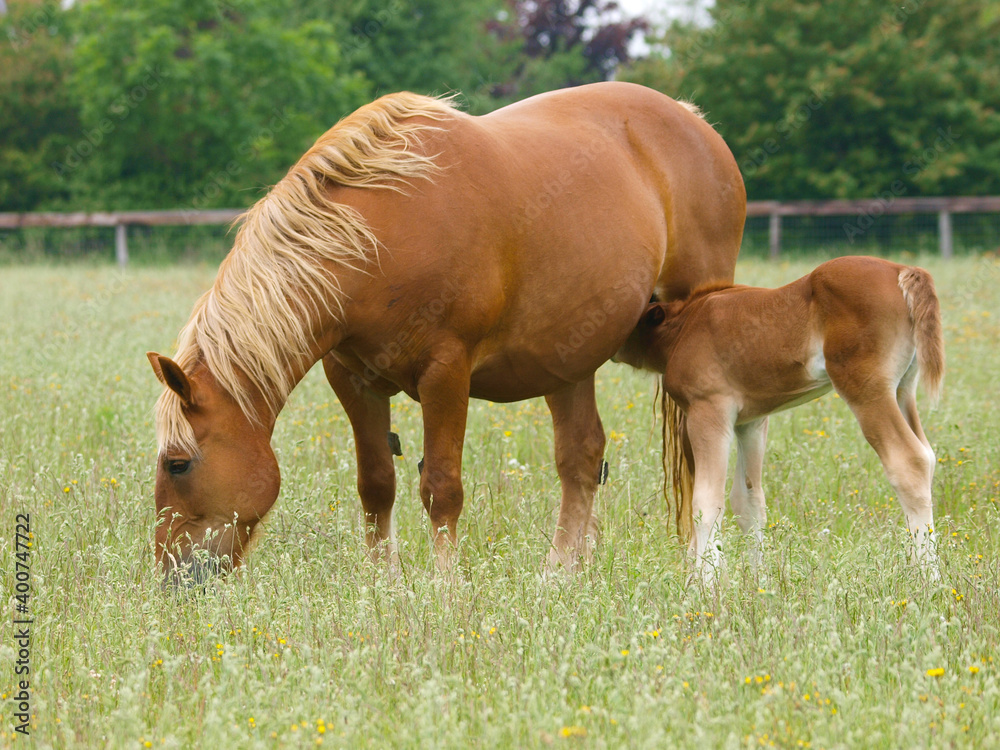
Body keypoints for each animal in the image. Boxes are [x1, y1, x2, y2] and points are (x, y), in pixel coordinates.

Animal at [146, 82, 746, 580]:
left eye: (178, 464)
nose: (174, 577)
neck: (379, 238)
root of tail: (694, 121)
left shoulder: (446, 374)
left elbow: (441, 488)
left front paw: (444, 588)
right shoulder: (352, 380)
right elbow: (376, 484)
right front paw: (383, 584)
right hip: (570, 357)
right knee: (579, 458)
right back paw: (558, 576)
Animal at [616, 255, 944, 584]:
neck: (683, 327)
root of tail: (902, 270)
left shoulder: (708, 411)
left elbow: (705, 502)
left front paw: (703, 584)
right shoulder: (750, 422)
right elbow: (747, 501)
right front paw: (757, 582)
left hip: (866, 390)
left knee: (909, 461)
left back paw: (928, 579)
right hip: (902, 390)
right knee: (928, 456)